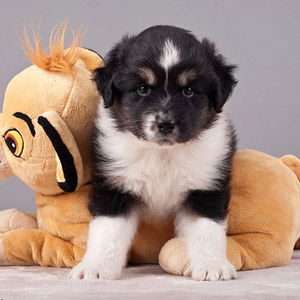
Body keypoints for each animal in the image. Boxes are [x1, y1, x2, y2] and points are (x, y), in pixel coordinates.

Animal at [69, 25, 237, 282]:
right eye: (142, 89)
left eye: (188, 90)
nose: (165, 124)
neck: (162, 154)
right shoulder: (115, 186)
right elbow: (107, 232)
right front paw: (95, 267)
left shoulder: (206, 185)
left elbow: (206, 230)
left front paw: (212, 265)